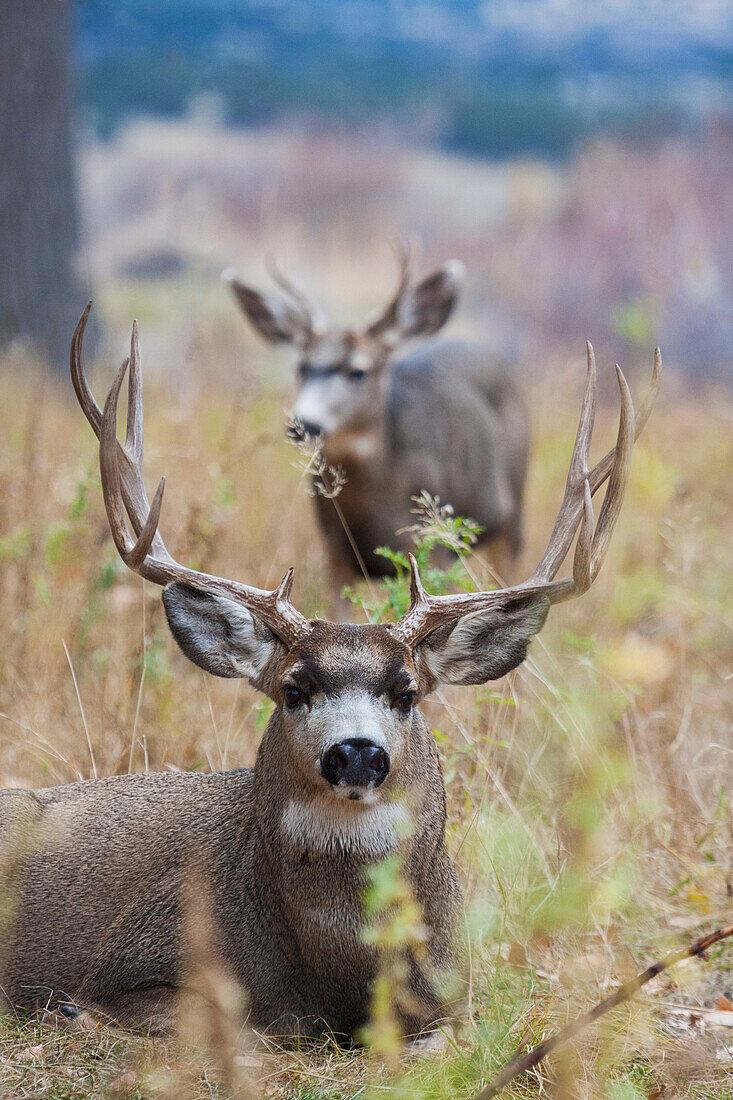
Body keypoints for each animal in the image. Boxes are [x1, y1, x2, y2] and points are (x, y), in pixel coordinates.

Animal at [0, 305, 660, 1042]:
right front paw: (74, 1011)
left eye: (406, 693)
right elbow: (236, 1026)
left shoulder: (456, 995)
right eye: (294, 689)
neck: (337, 975)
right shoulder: (136, 961)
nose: (356, 752)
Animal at [225, 250, 528, 585]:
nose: (305, 424)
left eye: (358, 371)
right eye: (301, 367)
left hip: (510, 511)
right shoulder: (334, 550)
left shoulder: (434, 544)